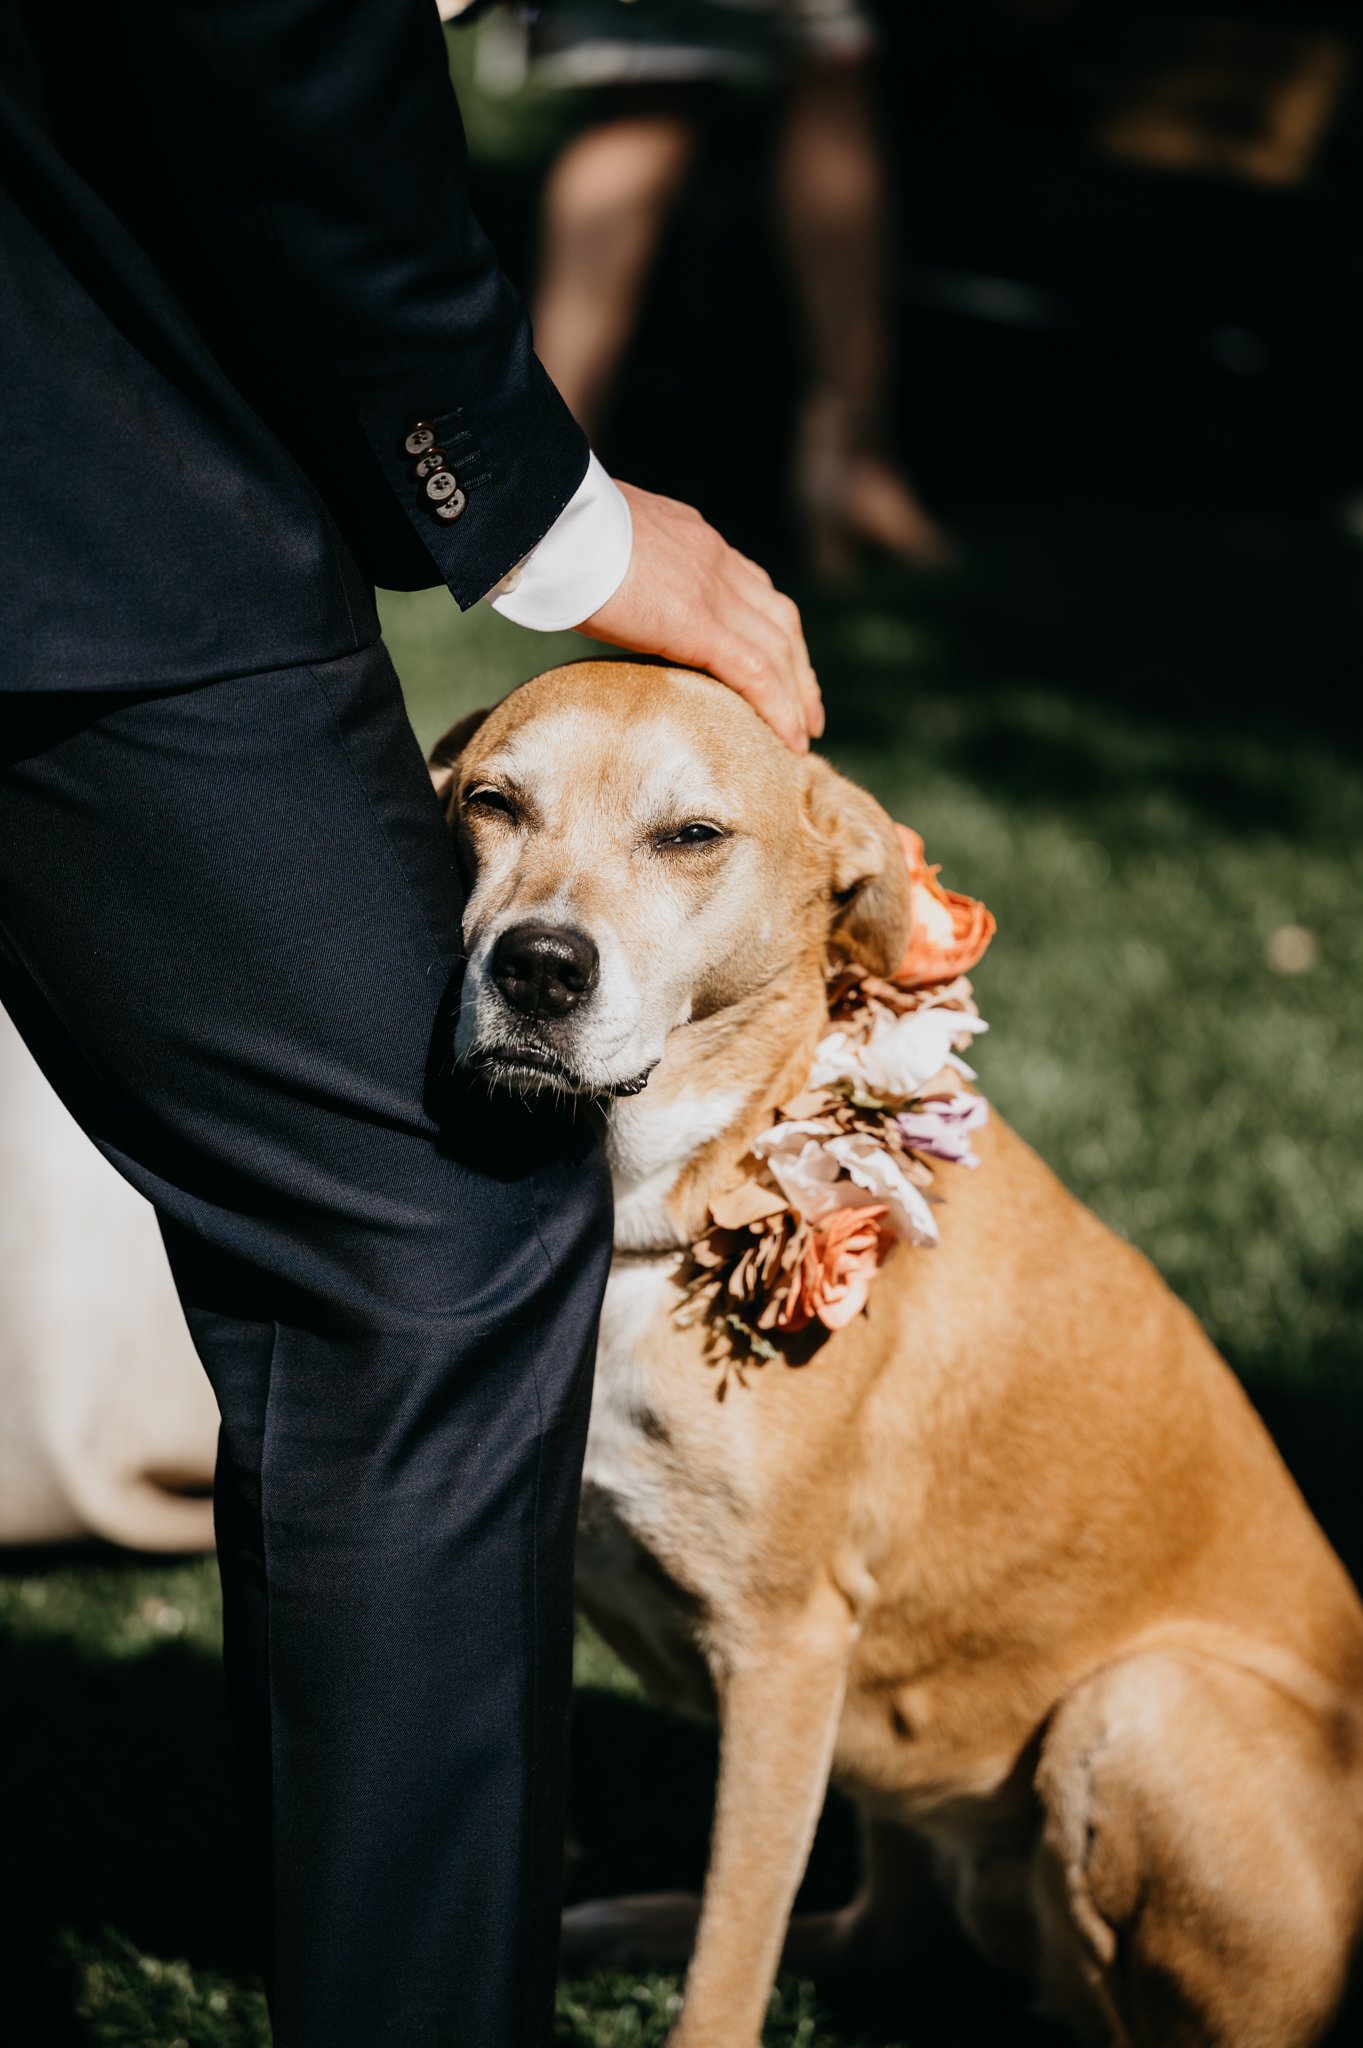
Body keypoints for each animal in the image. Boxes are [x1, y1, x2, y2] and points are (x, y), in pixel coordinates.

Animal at [431, 663, 1358, 2048]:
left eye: (691, 835)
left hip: (1136, 1708)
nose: (538, 966)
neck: (663, 1197)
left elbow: (729, 1966)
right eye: (492, 802)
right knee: (880, 1933)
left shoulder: (783, 1648)